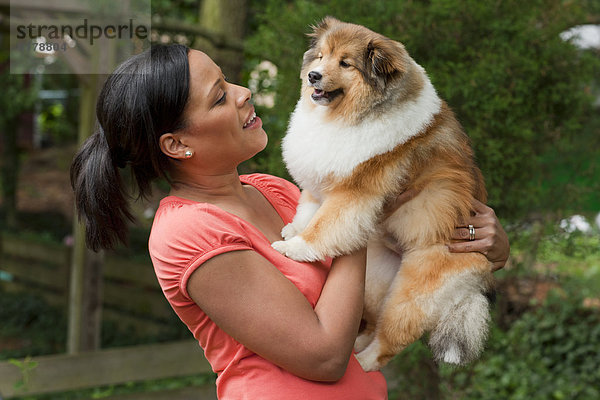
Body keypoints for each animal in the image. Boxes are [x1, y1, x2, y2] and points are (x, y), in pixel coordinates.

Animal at [270, 16, 492, 372]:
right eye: (321, 56)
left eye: (345, 63)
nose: (313, 76)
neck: (350, 115)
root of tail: (478, 281)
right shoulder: (322, 181)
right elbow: (309, 208)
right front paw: (294, 230)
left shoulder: (354, 191)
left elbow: (324, 224)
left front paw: (295, 248)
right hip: (375, 280)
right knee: (370, 324)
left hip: (410, 296)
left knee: (389, 342)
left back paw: (362, 362)